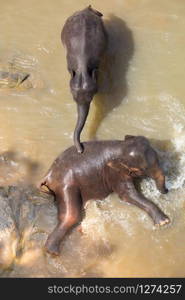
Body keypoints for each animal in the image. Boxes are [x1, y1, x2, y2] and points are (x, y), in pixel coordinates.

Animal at [39, 136, 170, 255]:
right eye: (143, 169)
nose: (167, 190)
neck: (122, 146)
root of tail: (49, 175)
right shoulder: (114, 174)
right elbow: (126, 194)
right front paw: (164, 222)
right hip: (66, 186)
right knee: (71, 216)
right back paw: (52, 251)